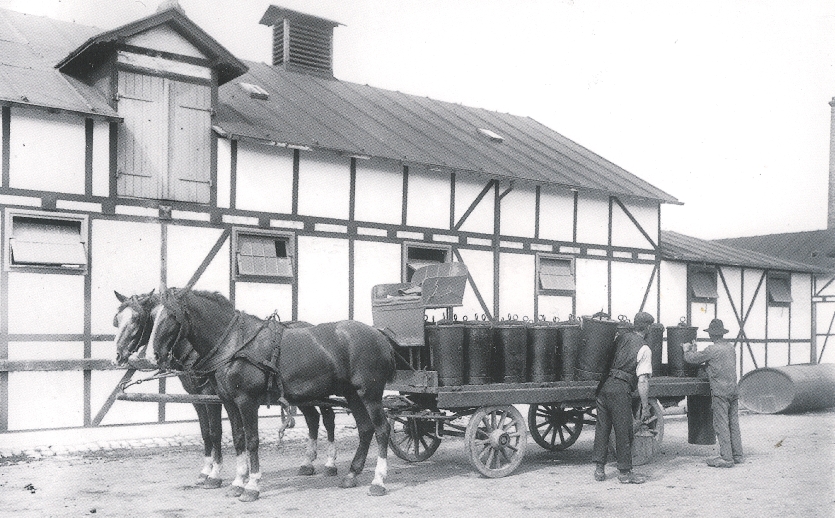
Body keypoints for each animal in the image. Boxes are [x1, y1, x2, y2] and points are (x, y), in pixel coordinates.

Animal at [113, 292, 340, 492]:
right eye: (118, 319)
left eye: (138, 319)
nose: (118, 356)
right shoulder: (200, 399)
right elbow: (207, 432)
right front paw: (209, 472)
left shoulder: (215, 399)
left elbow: (216, 432)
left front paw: (216, 474)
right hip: (303, 396)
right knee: (313, 419)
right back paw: (307, 463)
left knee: (328, 418)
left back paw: (330, 463)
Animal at [149, 290, 396, 502]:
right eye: (153, 315)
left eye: (172, 315)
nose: (155, 356)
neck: (234, 344)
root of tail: (378, 334)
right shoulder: (229, 402)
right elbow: (238, 438)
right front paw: (237, 482)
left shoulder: (246, 401)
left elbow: (251, 440)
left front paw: (251, 486)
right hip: (352, 394)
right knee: (365, 429)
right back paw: (352, 474)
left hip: (370, 395)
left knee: (382, 429)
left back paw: (378, 481)